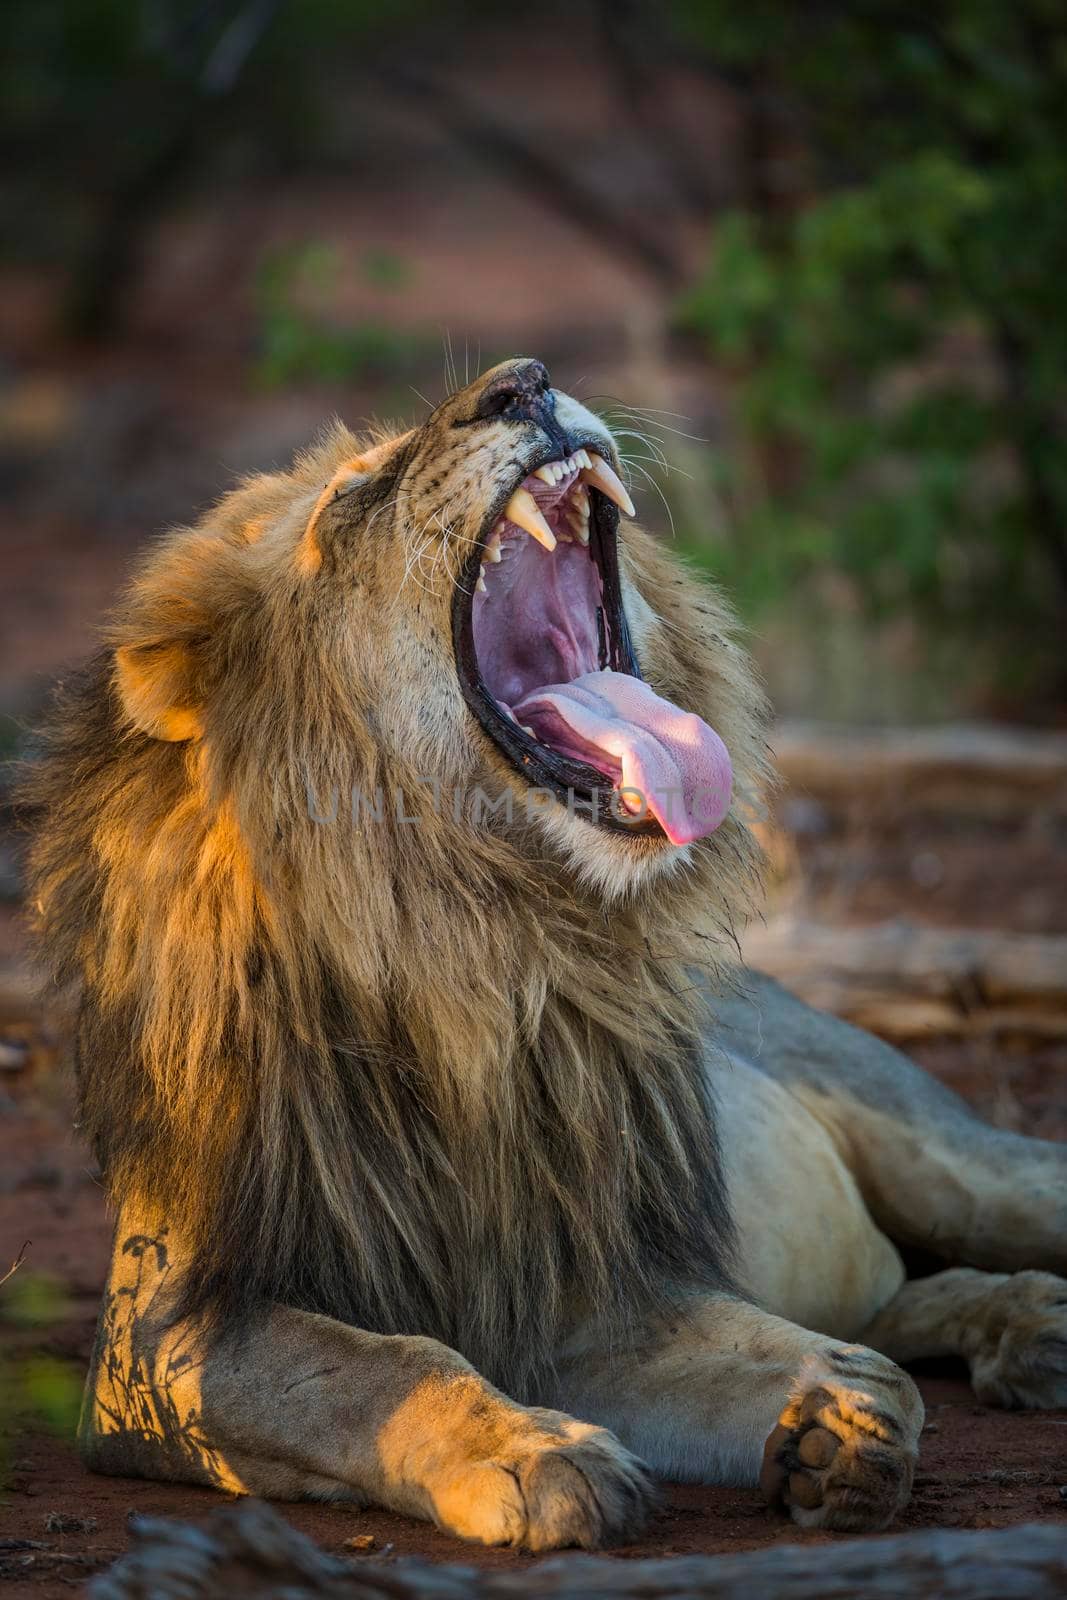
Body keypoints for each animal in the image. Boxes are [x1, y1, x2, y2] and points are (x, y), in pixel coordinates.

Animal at [22, 363, 1067, 1548]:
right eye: (350, 495)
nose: (519, 383)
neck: (481, 954)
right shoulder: (161, 1337)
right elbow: (379, 1370)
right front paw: (535, 1454)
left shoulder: (591, 1291)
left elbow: (824, 1363)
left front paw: (836, 1419)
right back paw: (1021, 1323)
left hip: (961, 1166)